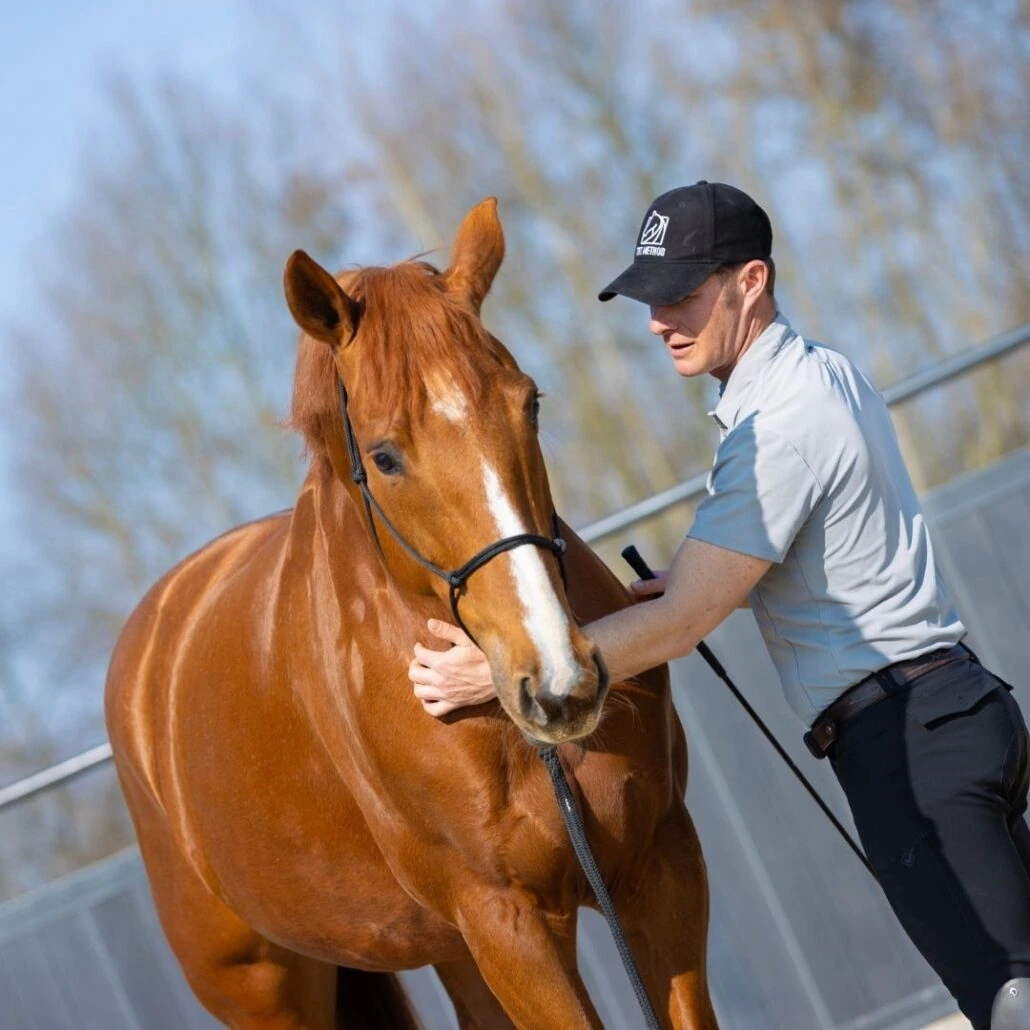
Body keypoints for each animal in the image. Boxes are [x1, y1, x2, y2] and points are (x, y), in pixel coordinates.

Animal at [105, 198, 718, 1030]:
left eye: (530, 403)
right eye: (385, 456)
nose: (560, 683)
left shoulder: (659, 867)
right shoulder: (506, 923)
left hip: (445, 947)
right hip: (268, 989)